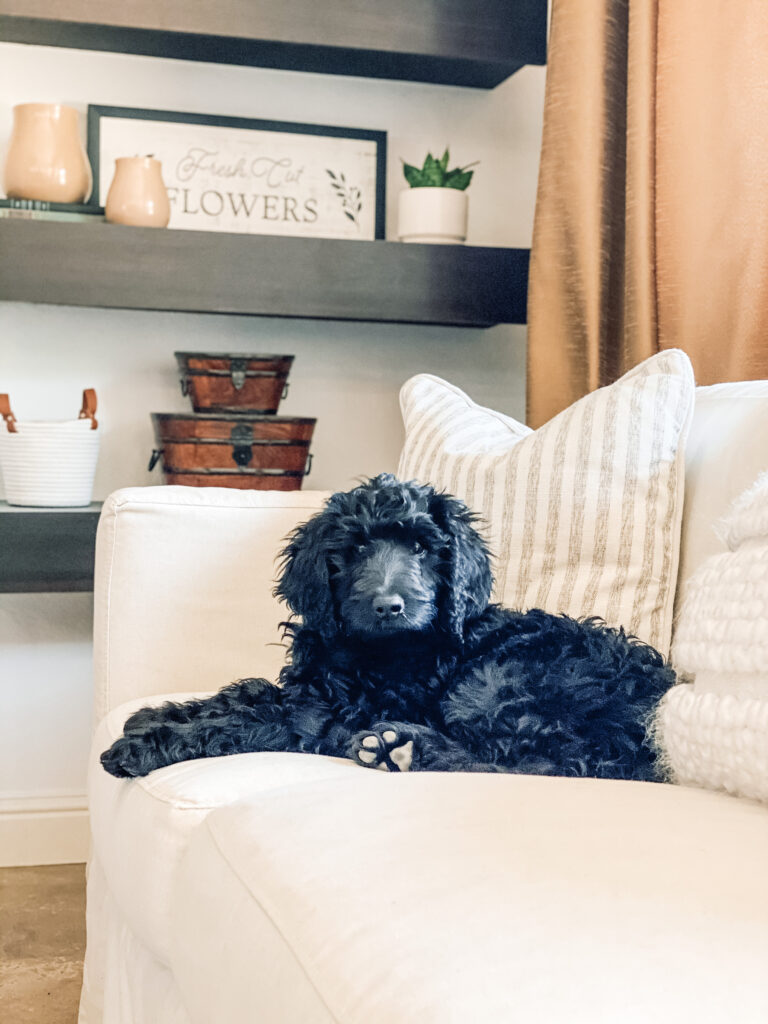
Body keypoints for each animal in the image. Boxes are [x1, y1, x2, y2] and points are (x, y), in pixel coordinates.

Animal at [99, 475, 675, 778]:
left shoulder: (330, 713)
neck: (371, 652)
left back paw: (403, 747)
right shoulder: (311, 687)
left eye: (420, 547)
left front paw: (145, 745)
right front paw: (156, 715)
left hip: (491, 685)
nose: (389, 606)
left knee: (535, 762)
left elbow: (255, 716)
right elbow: (248, 692)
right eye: (354, 550)